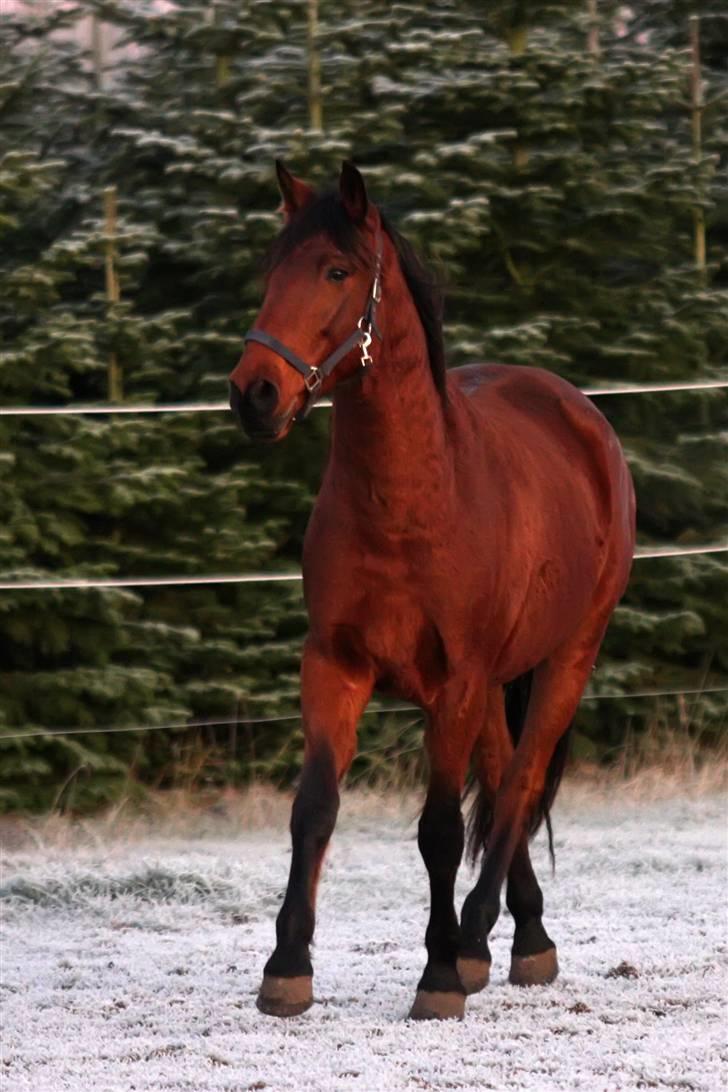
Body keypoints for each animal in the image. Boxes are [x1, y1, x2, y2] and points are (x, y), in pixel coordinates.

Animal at [230, 161, 633, 1022]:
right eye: (271, 270)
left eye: (336, 271)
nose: (254, 393)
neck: (409, 502)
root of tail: (578, 414)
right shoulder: (334, 665)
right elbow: (313, 809)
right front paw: (286, 968)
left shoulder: (455, 683)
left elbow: (440, 829)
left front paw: (439, 975)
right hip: (492, 685)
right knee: (504, 775)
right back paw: (523, 939)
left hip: (566, 659)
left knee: (518, 785)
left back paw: (475, 940)